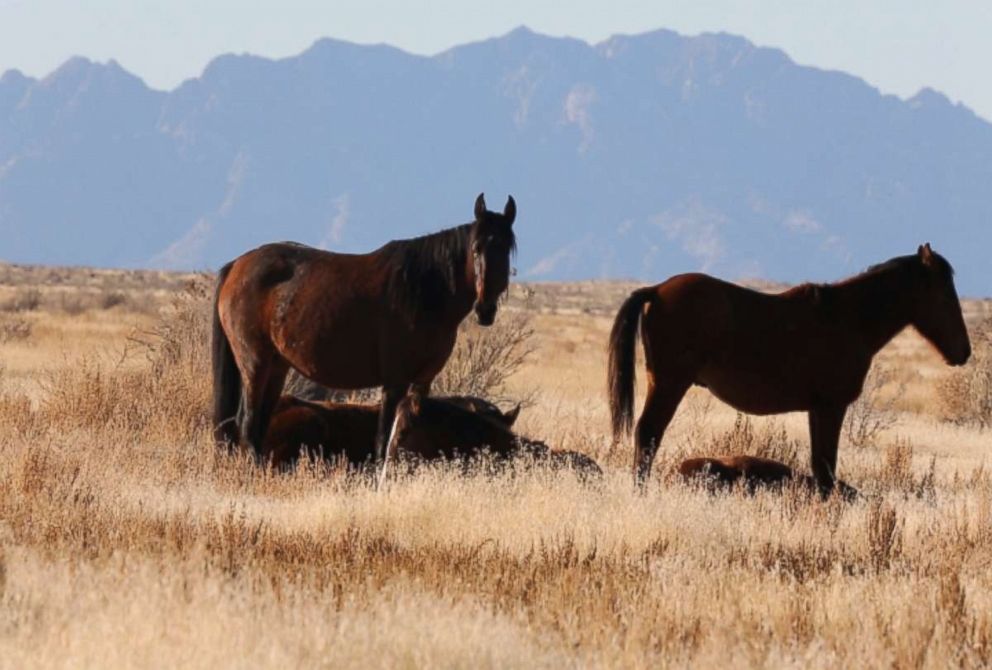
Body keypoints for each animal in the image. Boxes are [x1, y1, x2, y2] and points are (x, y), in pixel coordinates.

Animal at [608, 247, 972, 494]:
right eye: (943, 296)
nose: (963, 352)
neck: (849, 319)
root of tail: (656, 290)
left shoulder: (817, 409)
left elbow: (821, 466)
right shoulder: (831, 406)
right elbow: (825, 467)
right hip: (670, 384)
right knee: (648, 435)